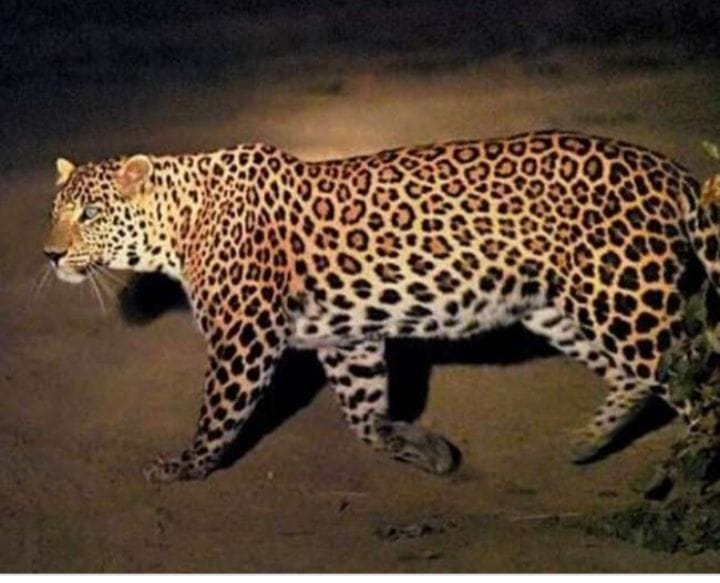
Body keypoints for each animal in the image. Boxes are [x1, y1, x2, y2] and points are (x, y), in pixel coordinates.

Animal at [43, 130, 720, 483]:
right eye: (55, 210)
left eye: (91, 214)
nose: (49, 254)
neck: (177, 225)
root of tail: (668, 169)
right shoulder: (347, 338)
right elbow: (363, 413)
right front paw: (420, 448)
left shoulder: (246, 335)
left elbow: (220, 411)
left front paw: (186, 465)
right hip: (560, 305)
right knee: (638, 377)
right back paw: (587, 441)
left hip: (621, 295)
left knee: (691, 374)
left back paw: (694, 465)